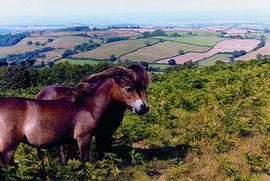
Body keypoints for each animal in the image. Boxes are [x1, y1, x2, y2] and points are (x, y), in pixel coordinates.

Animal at [0, 66, 150, 165]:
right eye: (128, 88)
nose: (142, 107)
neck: (87, 105)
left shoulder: (76, 140)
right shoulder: (84, 138)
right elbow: (85, 162)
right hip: (7, 149)